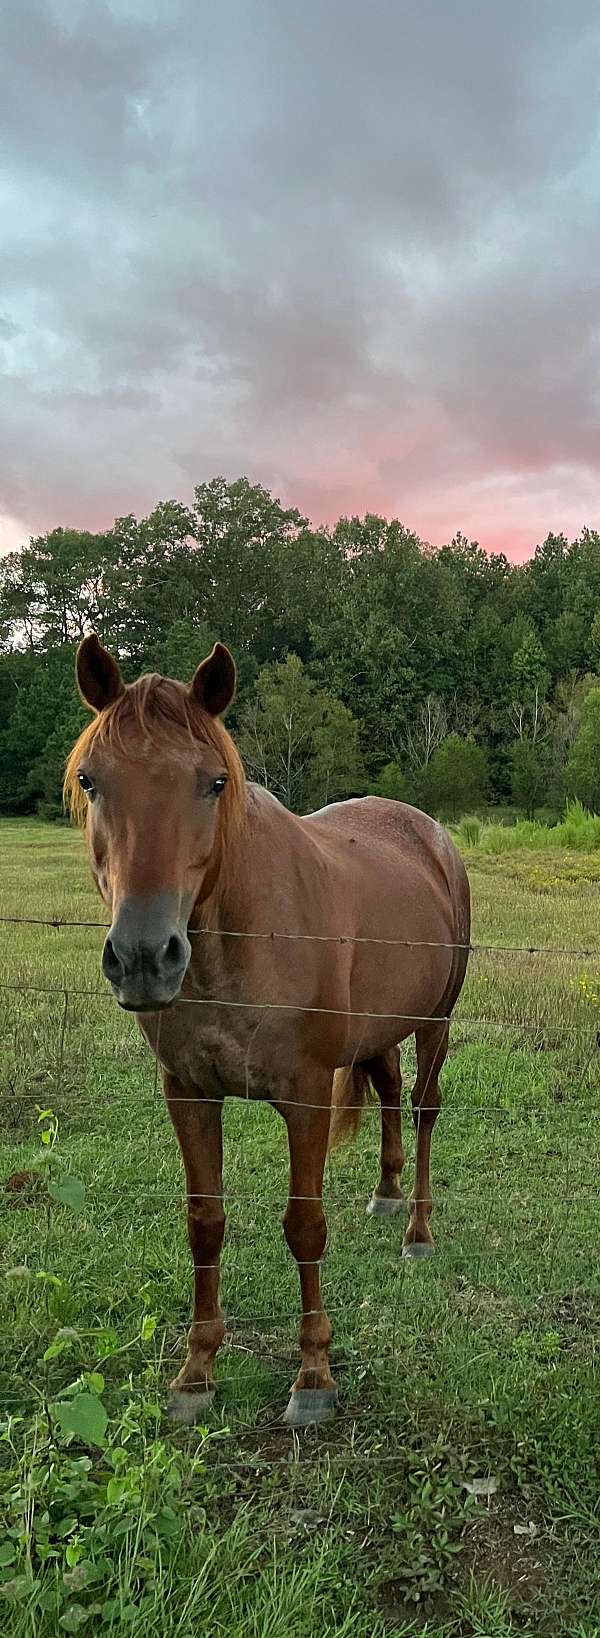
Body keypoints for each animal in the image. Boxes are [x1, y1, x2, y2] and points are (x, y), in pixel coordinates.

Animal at [64, 632, 468, 1428]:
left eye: (214, 782)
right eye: (92, 781)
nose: (143, 957)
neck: (238, 940)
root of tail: (431, 835)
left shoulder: (305, 1096)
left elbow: (304, 1226)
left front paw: (314, 1376)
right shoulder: (187, 1093)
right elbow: (205, 1222)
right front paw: (196, 1373)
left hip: (436, 1021)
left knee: (423, 1107)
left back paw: (418, 1231)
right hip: (380, 1031)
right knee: (389, 1092)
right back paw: (386, 1196)